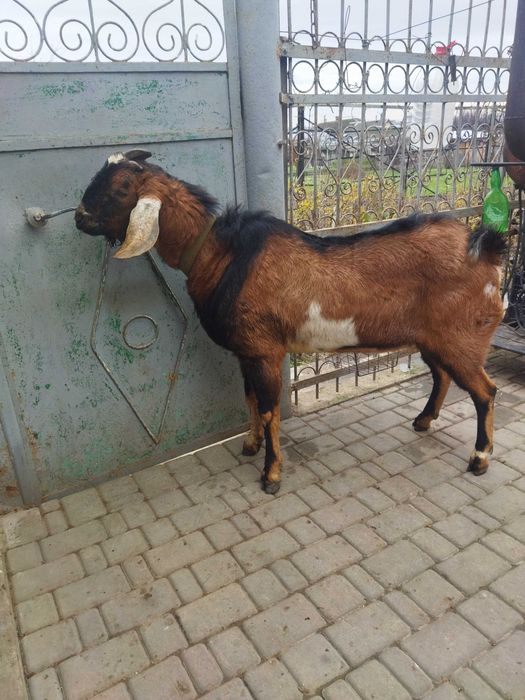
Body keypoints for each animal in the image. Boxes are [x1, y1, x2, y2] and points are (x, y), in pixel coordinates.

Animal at [75, 150, 506, 494]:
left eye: (120, 189)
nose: (79, 219)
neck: (222, 254)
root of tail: (485, 251)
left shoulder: (265, 350)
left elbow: (269, 410)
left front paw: (270, 475)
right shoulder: (247, 351)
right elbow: (249, 398)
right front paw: (250, 446)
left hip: (461, 337)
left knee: (485, 391)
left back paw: (479, 458)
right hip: (433, 338)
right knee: (442, 375)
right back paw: (423, 421)